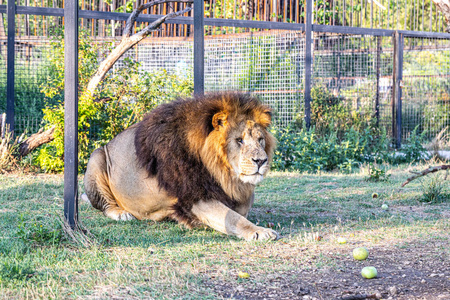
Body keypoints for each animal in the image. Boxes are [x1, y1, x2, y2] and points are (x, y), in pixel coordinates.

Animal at [81, 91, 278, 239]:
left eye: (260, 139)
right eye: (239, 140)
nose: (261, 161)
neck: (221, 172)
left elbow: (242, 209)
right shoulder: (194, 197)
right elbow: (233, 218)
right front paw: (260, 231)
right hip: (97, 157)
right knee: (105, 205)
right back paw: (121, 213)